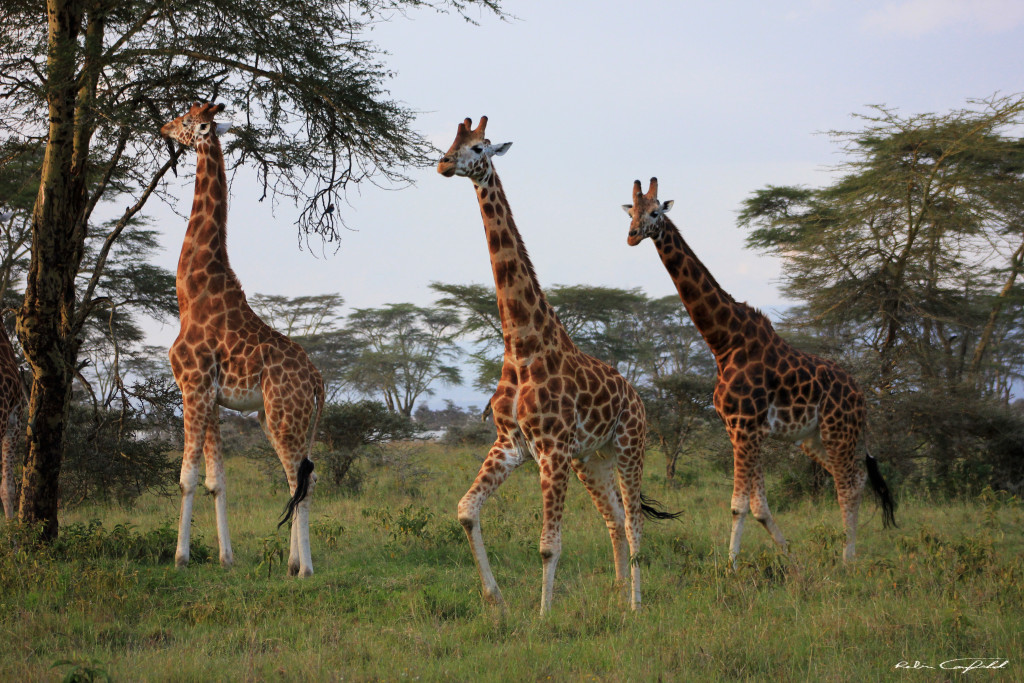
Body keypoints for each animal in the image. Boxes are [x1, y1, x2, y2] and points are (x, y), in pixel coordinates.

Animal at [159, 101, 323, 577]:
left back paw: (305, 570)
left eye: (187, 119)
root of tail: (318, 381)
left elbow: (187, 477)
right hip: (277, 418)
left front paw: (180, 557)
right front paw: (226, 558)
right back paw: (290, 564)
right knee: (299, 478)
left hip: (284, 416)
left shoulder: (192, 386)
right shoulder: (212, 397)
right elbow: (217, 480)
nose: (163, 127)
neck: (192, 291)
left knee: (303, 481)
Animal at [436, 118, 675, 614]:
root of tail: (637, 396)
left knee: (634, 523)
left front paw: (544, 616)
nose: (444, 163)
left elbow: (549, 544)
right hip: (593, 458)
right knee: (615, 517)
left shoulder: (551, 451)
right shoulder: (512, 445)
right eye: (451, 140)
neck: (521, 345)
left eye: (480, 146)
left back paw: (635, 606)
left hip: (630, 446)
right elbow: (466, 511)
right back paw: (618, 593)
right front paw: (497, 600)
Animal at [618, 176, 892, 565]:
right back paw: (846, 554)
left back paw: (847, 561)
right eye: (631, 213)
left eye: (655, 212)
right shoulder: (742, 429)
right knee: (857, 479)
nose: (632, 236)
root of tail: (862, 395)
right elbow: (760, 505)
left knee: (848, 486)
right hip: (814, 439)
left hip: (839, 431)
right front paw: (790, 560)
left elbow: (738, 505)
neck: (723, 342)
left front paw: (730, 568)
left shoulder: (745, 426)